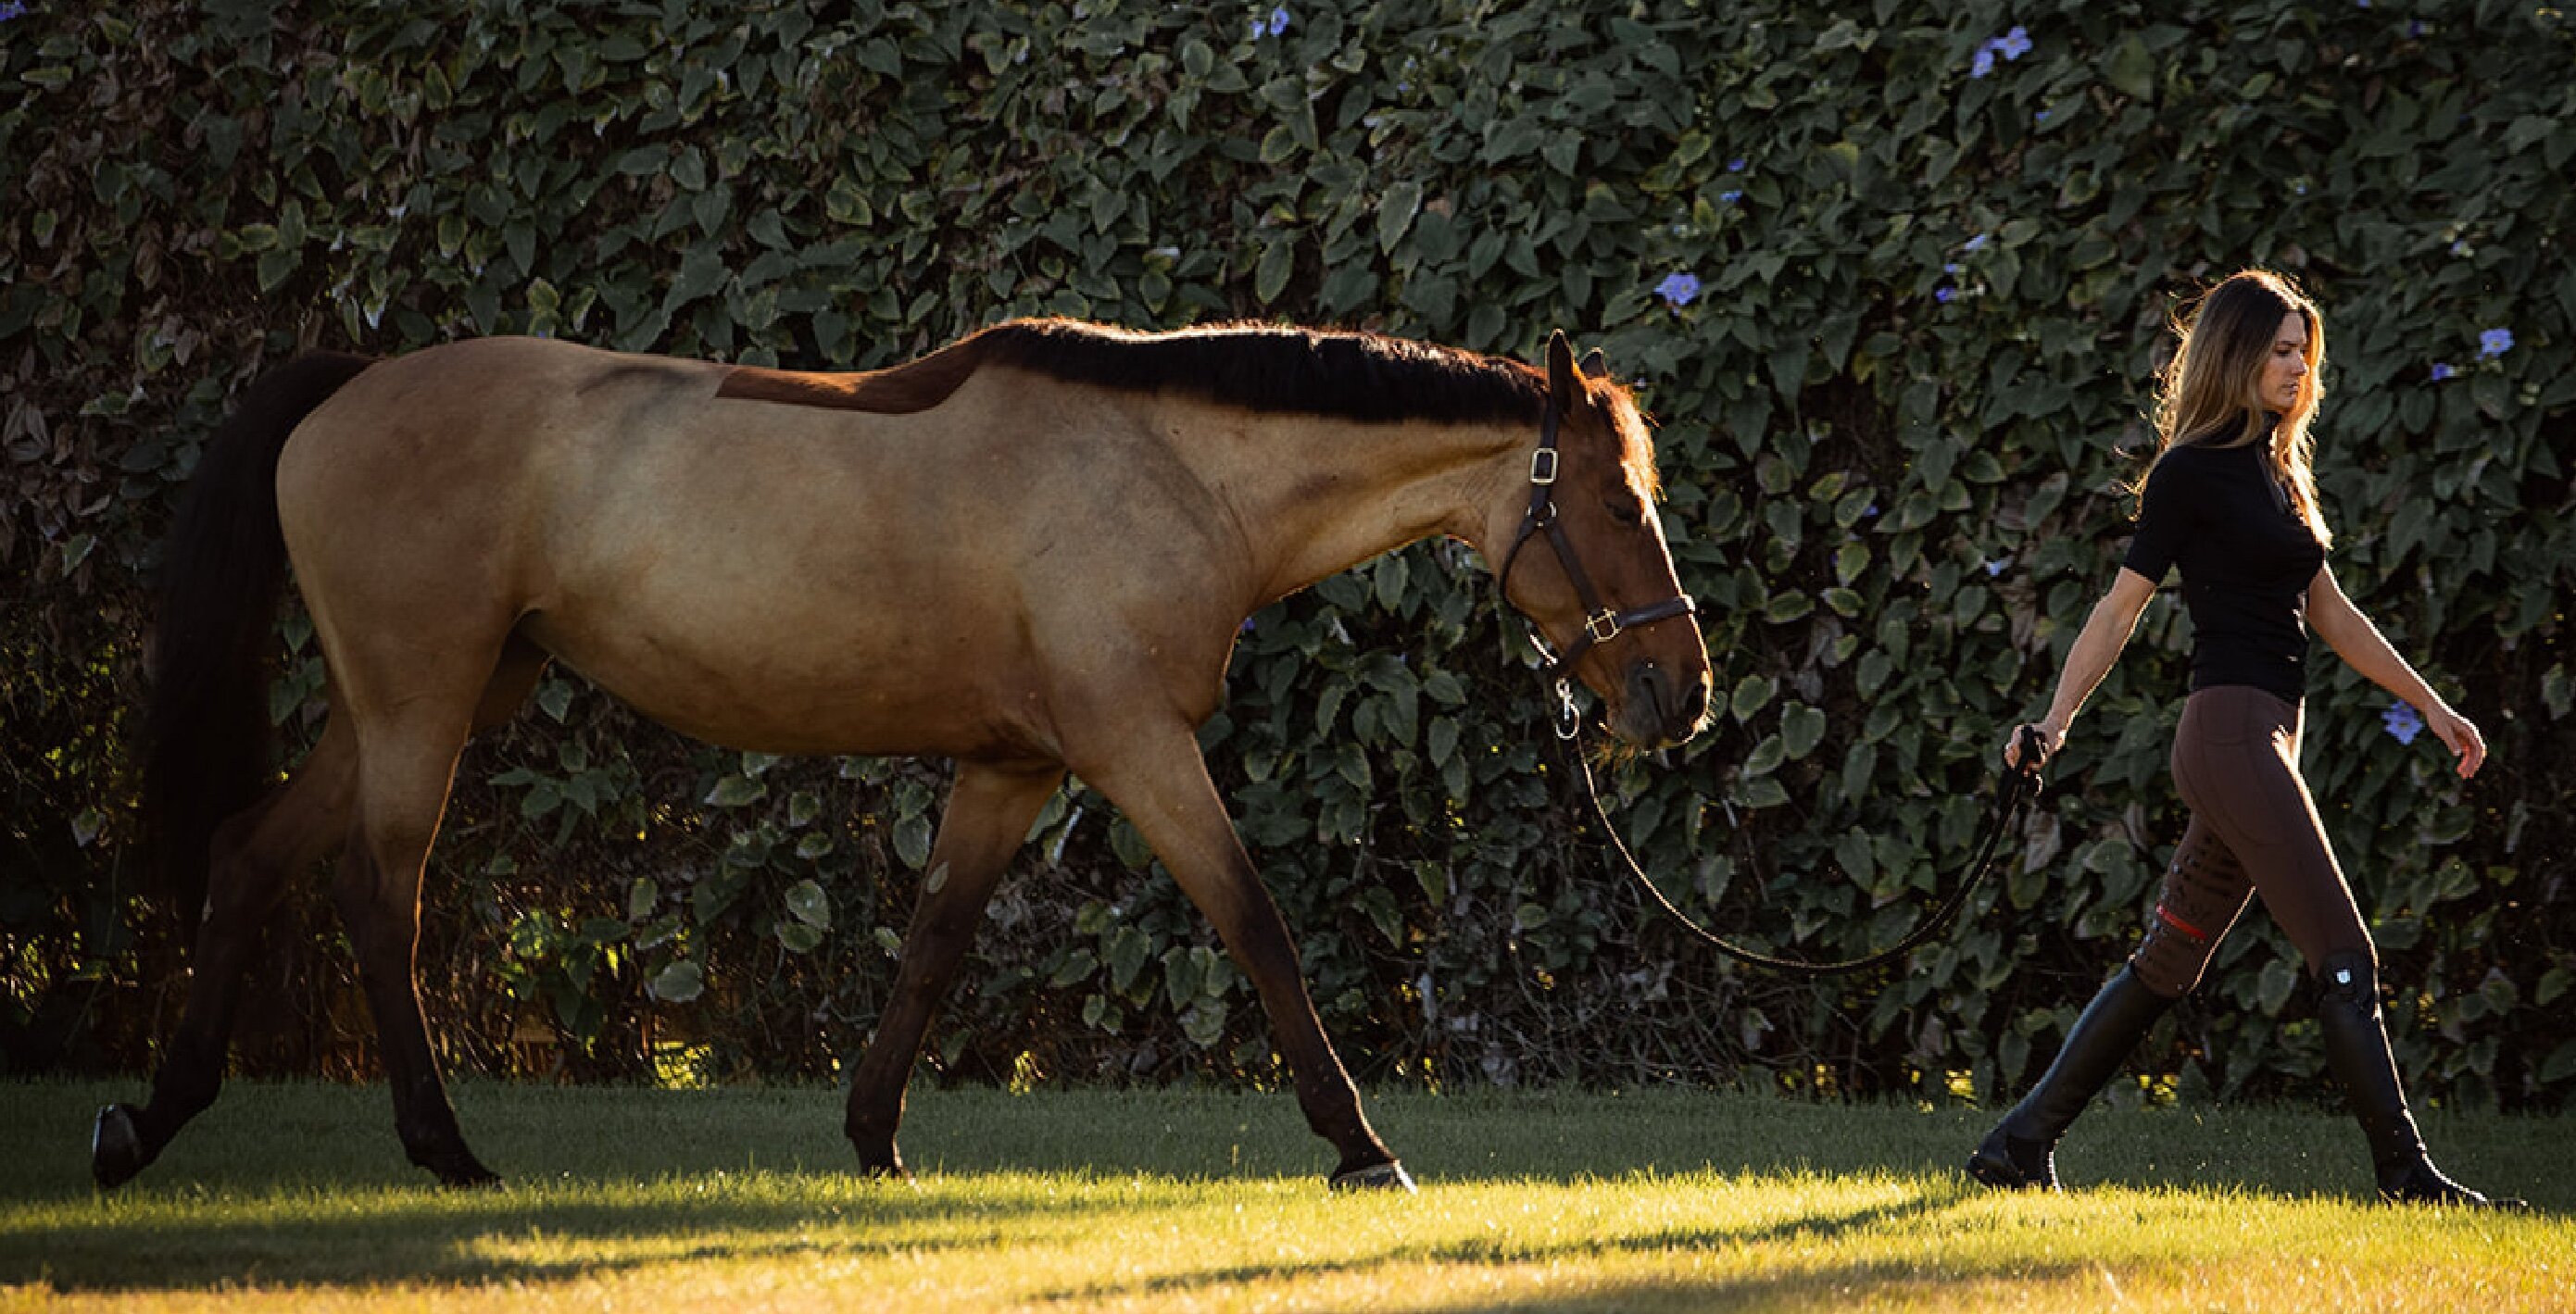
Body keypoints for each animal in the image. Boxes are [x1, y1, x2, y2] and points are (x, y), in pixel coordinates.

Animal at [99, 317, 1712, 1193]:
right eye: (1619, 502)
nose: (1677, 691)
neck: (1169, 467)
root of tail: (347, 383)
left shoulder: (1015, 767)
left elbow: (934, 942)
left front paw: (875, 1138)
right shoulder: (1138, 745)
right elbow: (1257, 921)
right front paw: (1362, 1139)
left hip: (406, 701)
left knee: (248, 853)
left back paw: (147, 1119)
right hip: (420, 704)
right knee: (383, 896)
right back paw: (441, 1146)